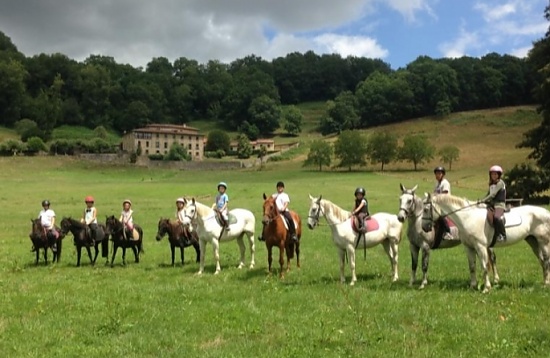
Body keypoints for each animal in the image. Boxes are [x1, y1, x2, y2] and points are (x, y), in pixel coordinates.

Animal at [422, 193, 550, 290]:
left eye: (426, 209)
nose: (424, 228)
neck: (468, 218)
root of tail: (546, 212)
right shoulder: (469, 247)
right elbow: (472, 266)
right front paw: (473, 286)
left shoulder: (481, 247)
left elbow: (484, 266)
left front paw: (487, 288)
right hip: (533, 241)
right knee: (542, 261)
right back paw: (544, 282)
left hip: (544, 243)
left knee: (546, 261)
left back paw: (546, 284)